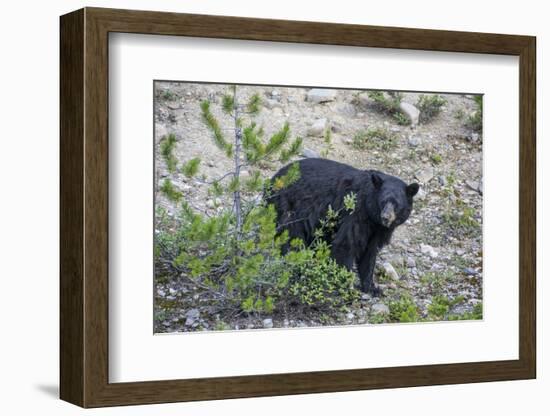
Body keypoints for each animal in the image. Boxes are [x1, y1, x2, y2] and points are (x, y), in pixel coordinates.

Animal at [270, 157, 420, 296]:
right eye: (383, 201)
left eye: (396, 204)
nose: (386, 217)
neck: (371, 215)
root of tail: (273, 179)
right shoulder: (356, 213)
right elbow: (346, 243)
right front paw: (345, 283)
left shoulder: (377, 229)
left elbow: (369, 253)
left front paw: (372, 288)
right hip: (288, 207)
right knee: (291, 238)